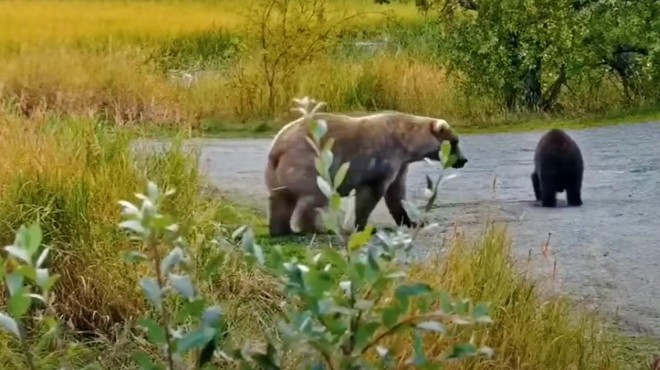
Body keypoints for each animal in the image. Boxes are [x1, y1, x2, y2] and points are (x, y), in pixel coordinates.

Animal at [264, 98, 470, 237]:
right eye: (455, 141)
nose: (463, 160)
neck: (406, 143)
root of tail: (278, 148)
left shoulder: (400, 164)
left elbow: (396, 193)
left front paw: (412, 221)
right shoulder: (381, 158)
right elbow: (371, 193)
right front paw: (362, 226)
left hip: (276, 173)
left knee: (281, 200)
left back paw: (280, 229)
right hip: (309, 162)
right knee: (314, 197)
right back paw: (316, 227)